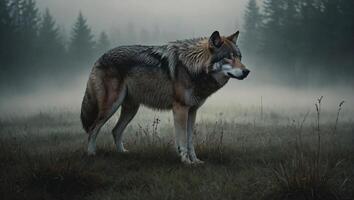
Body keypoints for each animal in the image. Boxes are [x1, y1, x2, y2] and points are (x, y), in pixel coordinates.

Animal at [81, 30, 250, 164]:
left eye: (240, 57)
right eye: (228, 57)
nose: (247, 71)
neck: (192, 68)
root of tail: (100, 57)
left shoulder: (192, 111)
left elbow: (190, 140)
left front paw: (195, 161)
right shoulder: (180, 109)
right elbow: (182, 140)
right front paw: (186, 162)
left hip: (131, 109)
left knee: (115, 131)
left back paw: (122, 153)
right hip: (111, 106)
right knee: (93, 129)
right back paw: (91, 154)